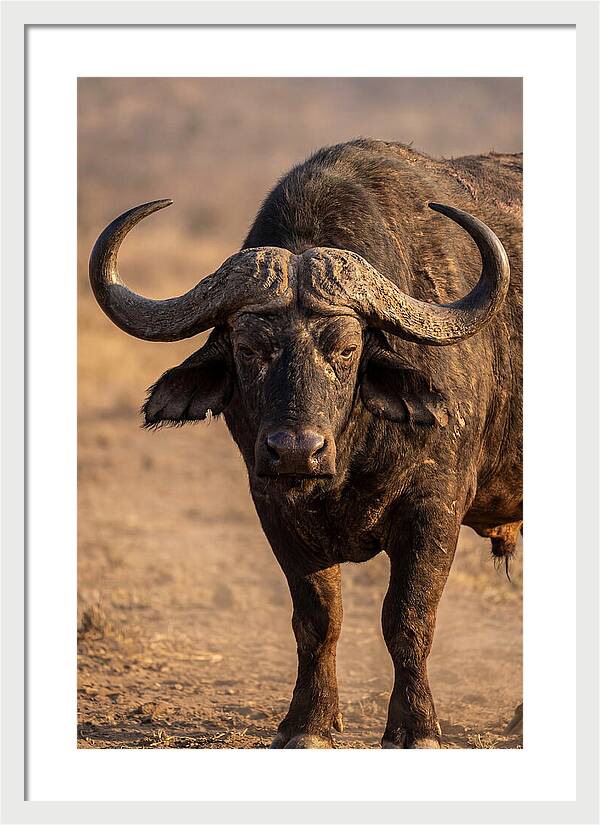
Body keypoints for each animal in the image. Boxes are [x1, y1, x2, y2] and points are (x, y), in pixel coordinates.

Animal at [89, 139, 522, 749]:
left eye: (346, 348)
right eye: (249, 348)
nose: (295, 450)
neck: (348, 457)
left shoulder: (434, 509)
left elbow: (408, 618)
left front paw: (416, 727)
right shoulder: (273, 507)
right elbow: (317, 620)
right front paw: (309, 724)